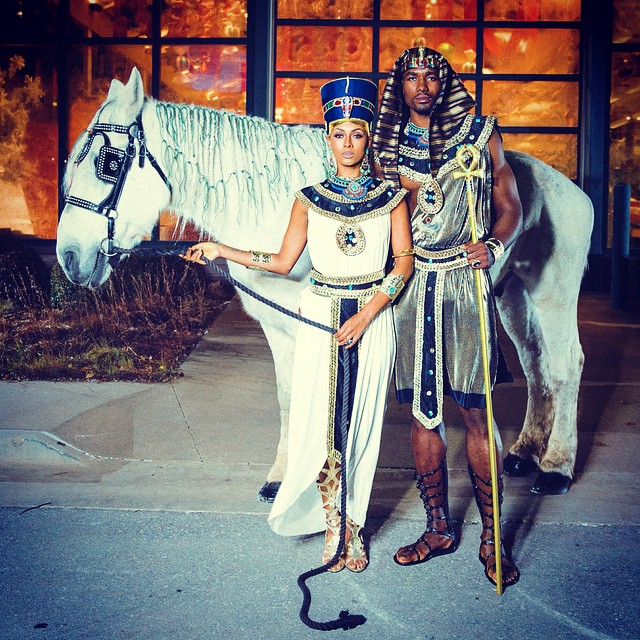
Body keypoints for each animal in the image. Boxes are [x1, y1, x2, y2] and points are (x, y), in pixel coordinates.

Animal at [56, 67, 594, 500]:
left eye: (108, 162)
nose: (70, 257)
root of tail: (571, 189)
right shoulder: (280, 327)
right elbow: (290, 397)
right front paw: (282, 478)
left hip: (551, 295)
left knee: (565, 366)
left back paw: (555, 467)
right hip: (512, 298)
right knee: (536, 365)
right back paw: (523, 452)